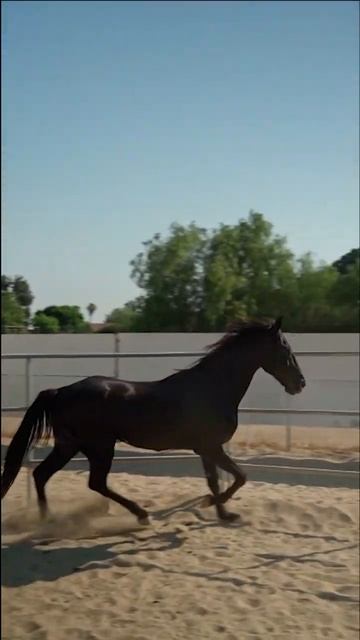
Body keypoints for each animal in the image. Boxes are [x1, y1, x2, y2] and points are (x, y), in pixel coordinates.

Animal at [0, 318, 304, 524]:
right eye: (285, 348)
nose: (300, 384)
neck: (213, 387)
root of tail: (60, 391)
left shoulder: (206, 449)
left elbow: (215, 481)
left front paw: (225, 514)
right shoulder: (211, 447)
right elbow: (240, 477)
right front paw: (210, 505)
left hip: (69, 445)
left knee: (42, 475)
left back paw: (47, 521)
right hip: (100, 447)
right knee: (95, 483)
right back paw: (141, 514)